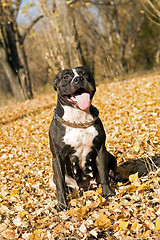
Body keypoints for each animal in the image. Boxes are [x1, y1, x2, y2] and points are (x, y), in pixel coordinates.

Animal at [48, 66, 116, 211]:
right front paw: (62, 205)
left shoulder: (100, 149)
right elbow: (60, 184)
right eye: (66, 77)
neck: (78, 119)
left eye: (85, 73)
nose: (78, 79)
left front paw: (108, 193)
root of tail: (86, 188)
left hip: (111, 157)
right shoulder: (57, 157)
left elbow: (103, 174)